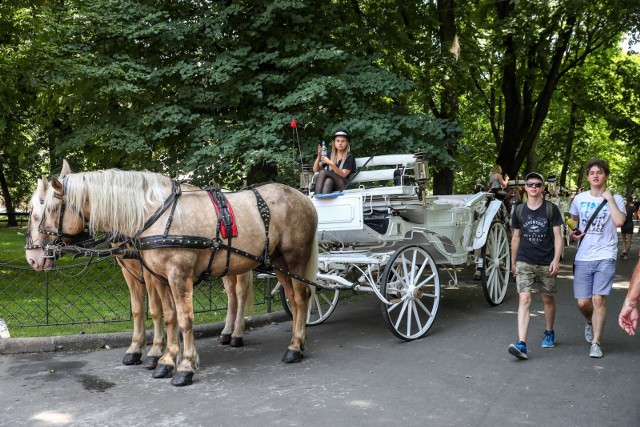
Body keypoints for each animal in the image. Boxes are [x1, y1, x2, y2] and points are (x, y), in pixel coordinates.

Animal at [27, 162, 318, 386]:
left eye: (48, 210)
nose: (34, 258)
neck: (151, 214)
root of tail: (303, 197)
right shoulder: (155, 276)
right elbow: (164, 315)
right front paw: (164, 359)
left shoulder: (177, 275)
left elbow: (183, 319)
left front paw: (184, 365)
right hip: (276, 262)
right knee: (278, 298)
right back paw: (287, 340)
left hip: (295, 259)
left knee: (300, 297)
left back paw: (292, 346)